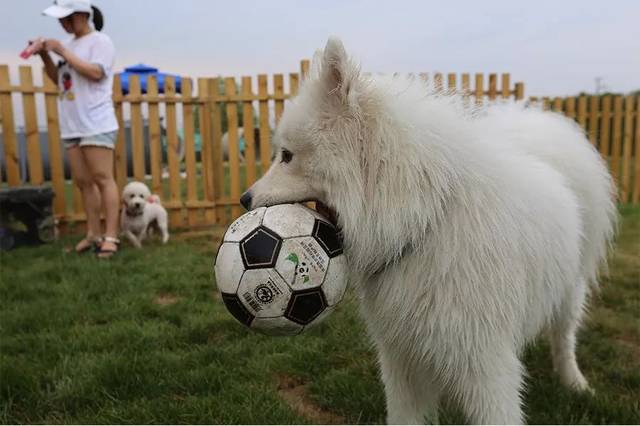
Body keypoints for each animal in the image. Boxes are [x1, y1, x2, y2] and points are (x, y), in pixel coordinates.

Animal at [239, 38, 616, 424]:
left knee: (564, 338)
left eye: (287, 156)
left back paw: (575, 383)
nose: (244, 198)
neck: (424, 221)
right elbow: (404, 415)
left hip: (568, 293)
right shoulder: (401, 357)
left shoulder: (485, 364)